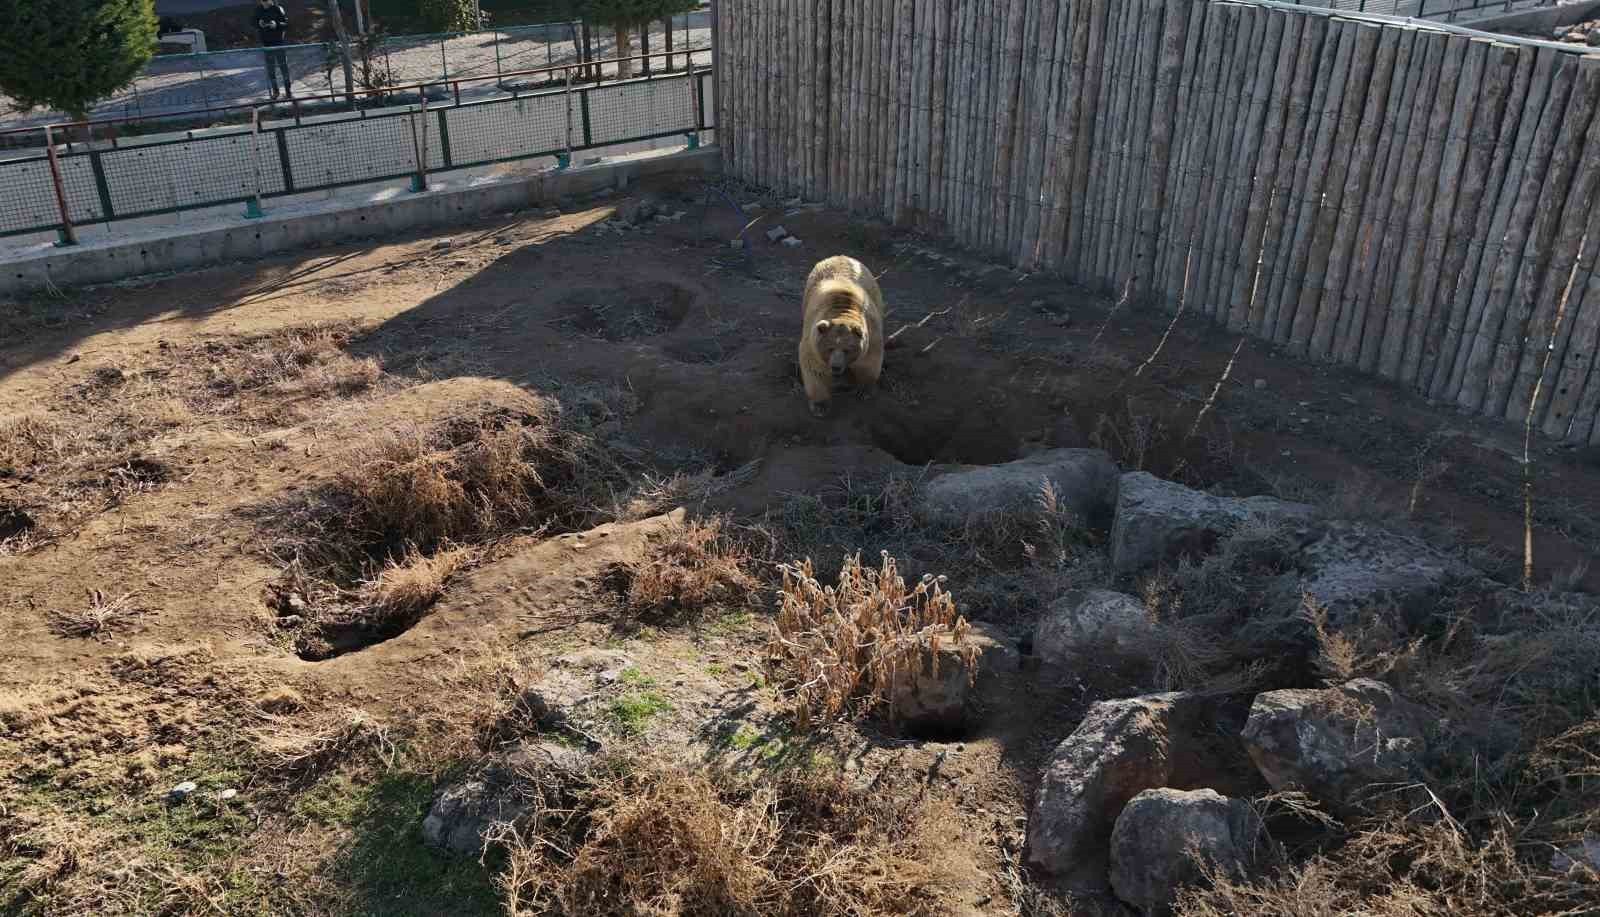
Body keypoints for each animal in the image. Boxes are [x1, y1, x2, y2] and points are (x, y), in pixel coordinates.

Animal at [800, 254, 889, 419]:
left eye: (847, 349)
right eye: (829, 348)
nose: (836, 367)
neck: (843, 310)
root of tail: (840, 256)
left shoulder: (871, 333)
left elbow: (869, 362)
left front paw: (864, 390)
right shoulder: (813, 340)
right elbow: (815, 369)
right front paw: (820, 405)